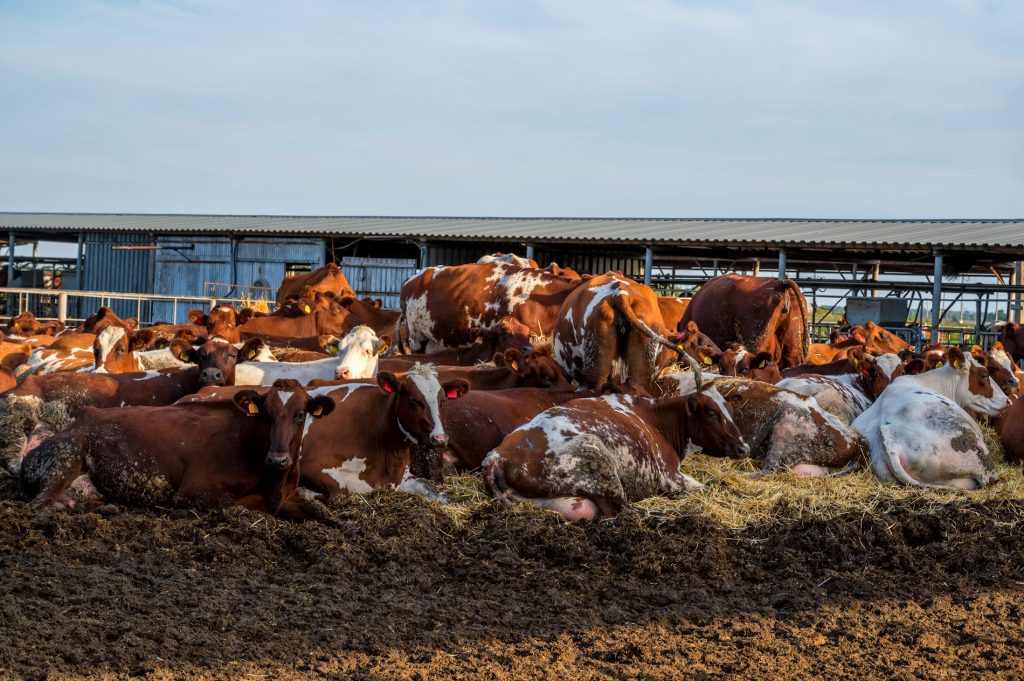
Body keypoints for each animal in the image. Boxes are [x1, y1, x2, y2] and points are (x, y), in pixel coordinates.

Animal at [19, 382, 333, 516]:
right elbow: (239, 508)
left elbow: (322, 512)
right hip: (67, 457)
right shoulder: (195, 490)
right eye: (266, 414)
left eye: (300, 414)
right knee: (40, 505)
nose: (278, 458)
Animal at [475, 387, 749, 520]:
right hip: (598, 461)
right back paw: (670, 514)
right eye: (711, 413)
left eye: (732, 411)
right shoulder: (670, 475)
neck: (655, 419)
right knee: (624, 510)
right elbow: (709, 488)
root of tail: (497, 457)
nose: (743, 448)